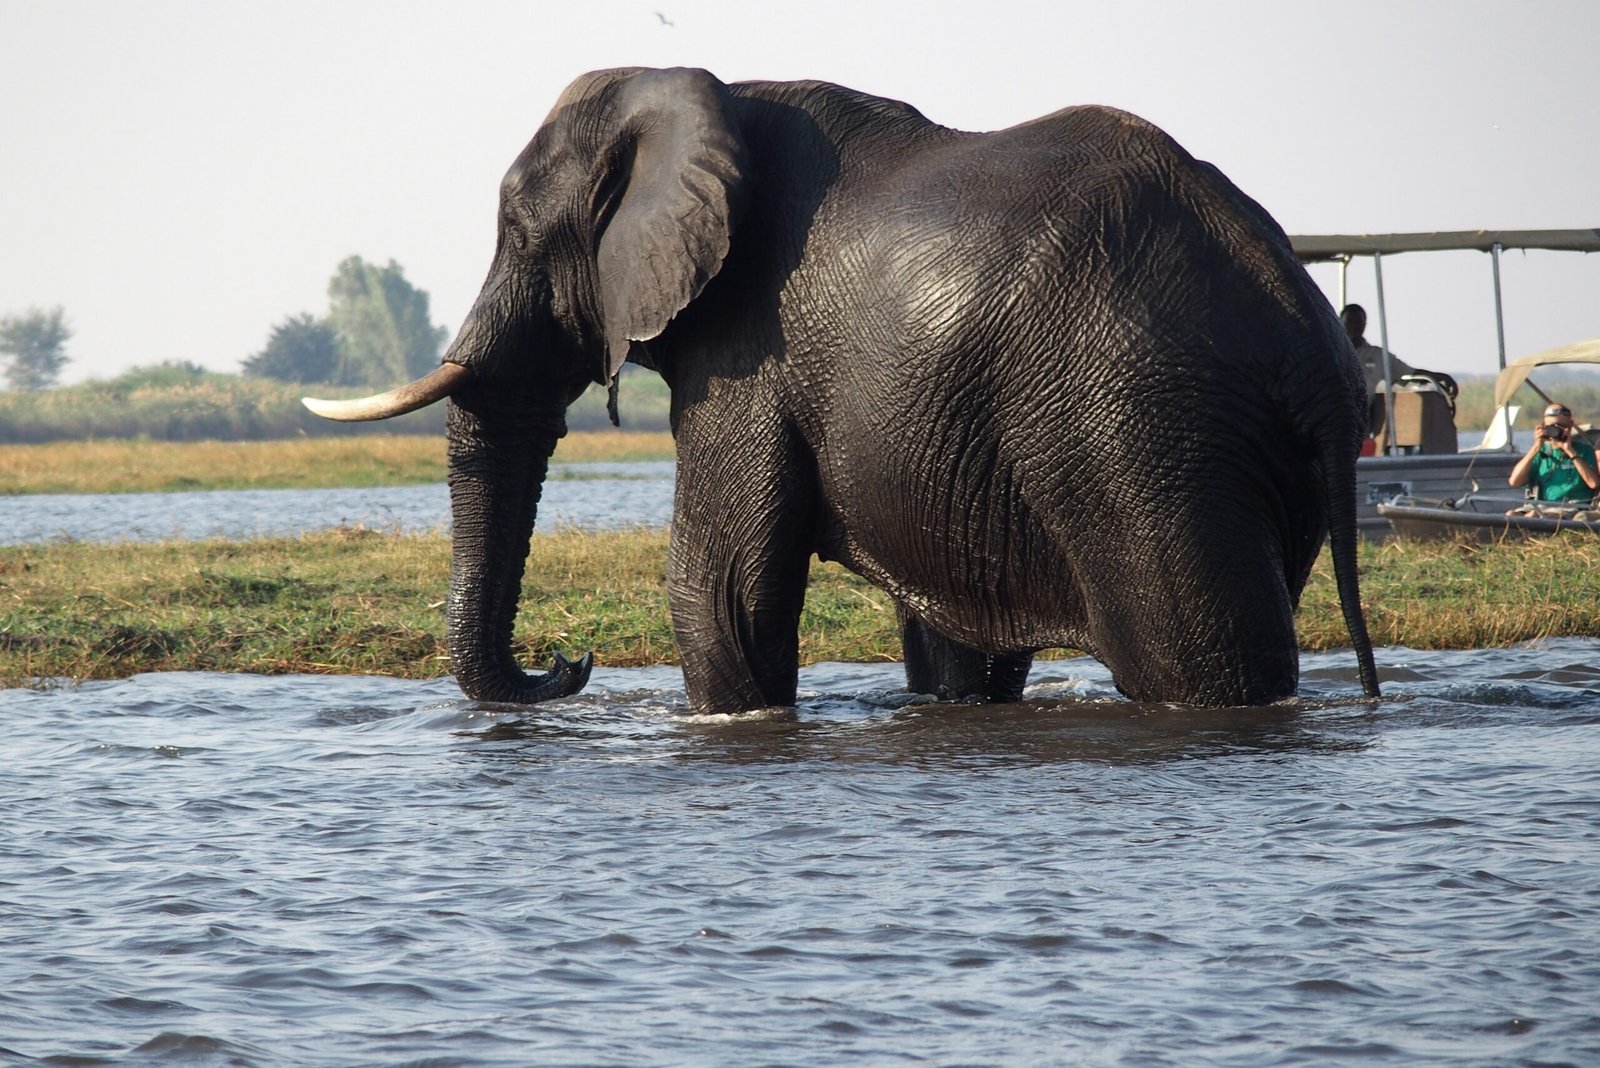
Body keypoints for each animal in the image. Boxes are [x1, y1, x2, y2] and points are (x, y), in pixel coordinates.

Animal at [305, 66, 1380, 713]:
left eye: (516, 233)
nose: (568, 660)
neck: (705, 96)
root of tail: (1298, 311)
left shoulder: (749, 352)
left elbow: (721, 590)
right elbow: (950, 638)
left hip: (1143, 436)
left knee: (1202, 657)